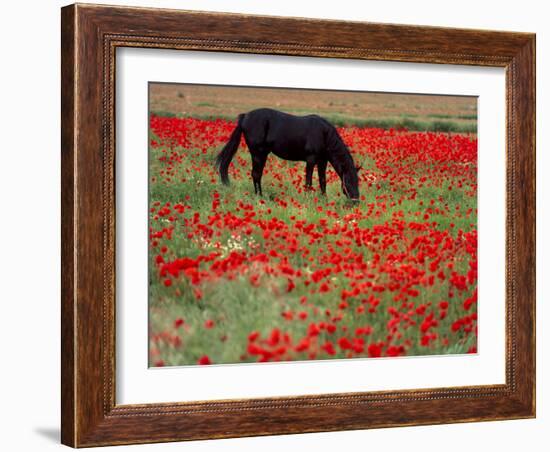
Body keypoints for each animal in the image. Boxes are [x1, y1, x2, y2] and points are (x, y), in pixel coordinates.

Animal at [213, 107, 360, 200]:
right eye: (349, 180)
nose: (355, 201)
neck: (323, 134)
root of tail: (245, 117)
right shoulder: (311, 160)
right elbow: (308, 181)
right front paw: (308, 199)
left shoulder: (322, 161)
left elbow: (322, 181)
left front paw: (324, 200)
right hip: (258, 153)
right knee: (256, 174)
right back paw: (259, 197)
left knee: (257, 175)